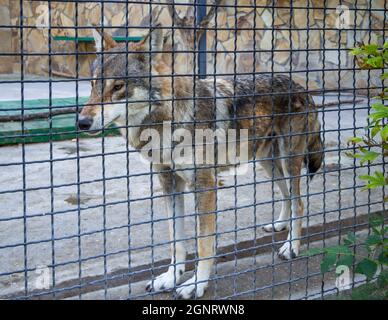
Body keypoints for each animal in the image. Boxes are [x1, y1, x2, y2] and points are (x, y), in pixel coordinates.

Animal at [77, 27, 322, 300]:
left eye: (118, 86)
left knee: (299, 203)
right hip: (268, 163)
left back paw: (290, 247)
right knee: (287, 196)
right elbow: (176, 240)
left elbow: (204, 243)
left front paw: (196, 284)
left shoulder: (204, 185)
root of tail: (301, 86)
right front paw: (170, 277)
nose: (82, 122)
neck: (168, 122)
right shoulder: (169, 182)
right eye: (92, 85)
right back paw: (279, 225)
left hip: (287, 162)